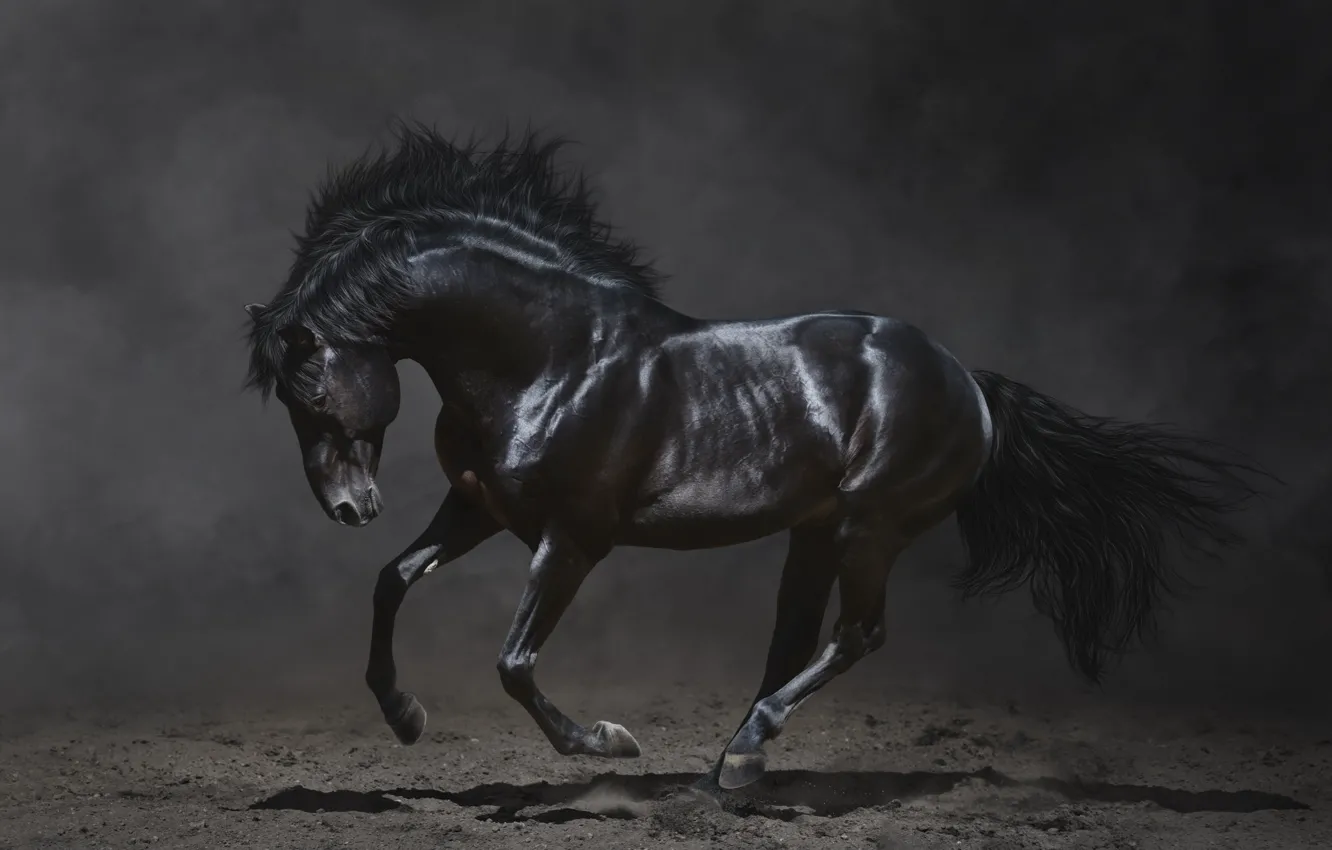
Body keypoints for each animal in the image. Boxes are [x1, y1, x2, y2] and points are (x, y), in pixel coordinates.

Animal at [243, 124, 1262, 791]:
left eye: (312, 391)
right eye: (288, 402)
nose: (348, 507)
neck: (551, 359)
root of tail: (967, 380)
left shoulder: (572, 539)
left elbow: (515, 662)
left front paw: (608, 744)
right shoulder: (480, 509)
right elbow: (392, 580)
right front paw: (404, 717)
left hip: (870, 527)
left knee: (857, 635)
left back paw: (742, 754)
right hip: (815, 532)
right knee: (795, 640)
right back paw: (732, 764)